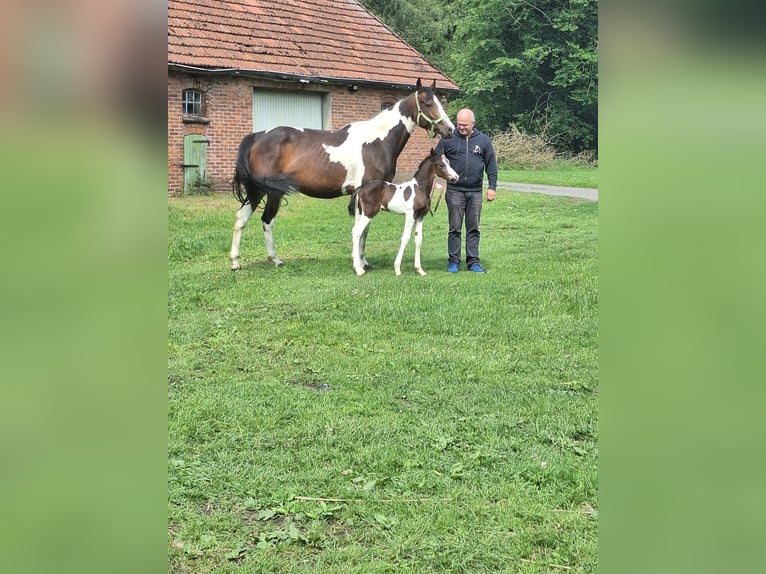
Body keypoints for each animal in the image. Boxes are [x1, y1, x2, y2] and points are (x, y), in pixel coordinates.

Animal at [351, 147, 459, 276]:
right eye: (441, 165)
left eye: (448, 162)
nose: (456, 177)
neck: (419, 189)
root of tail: (360, 189)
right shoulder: (410, 215)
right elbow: (405, 238)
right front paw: (397, 268)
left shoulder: (420, 216)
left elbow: (418, 239)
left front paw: (420, 270)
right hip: (368, 214)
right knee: (357, 231)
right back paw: (358, 269)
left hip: (361, 214)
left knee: (359, 232)